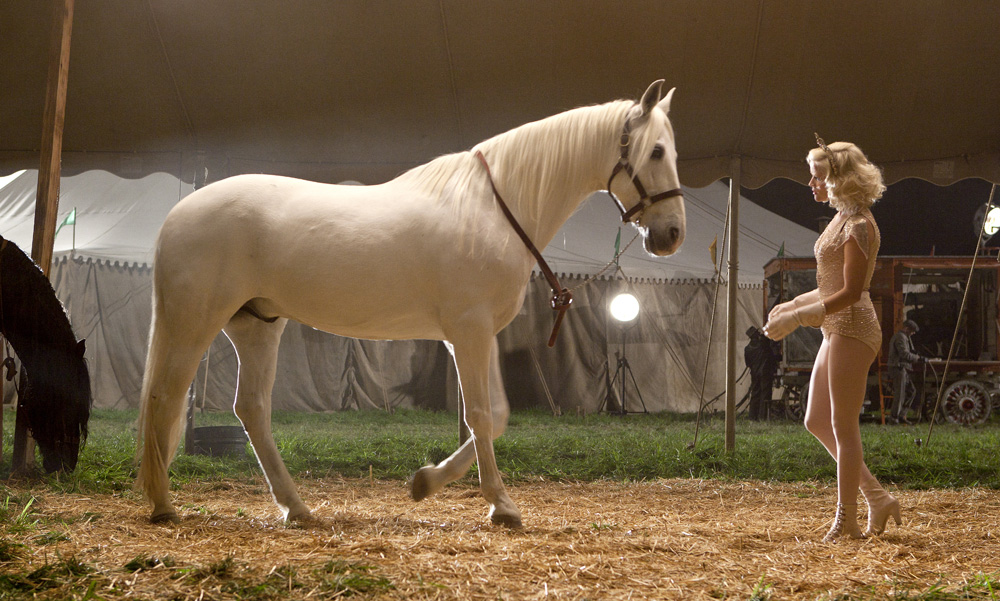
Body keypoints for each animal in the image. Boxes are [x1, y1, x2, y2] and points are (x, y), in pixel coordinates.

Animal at [137, 79, 684, 524]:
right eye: (657, 151)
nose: (672, 234)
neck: (492, 208)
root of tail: (177, 214)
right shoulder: (468, 330)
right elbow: (480, 415)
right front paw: (501, 505)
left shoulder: (475, 334)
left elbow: (497, 415)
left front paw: (426, 482)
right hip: (194, 323)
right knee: (165, 398)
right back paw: (164, 505)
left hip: (257, 326)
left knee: (250, 409)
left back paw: (297, 508)